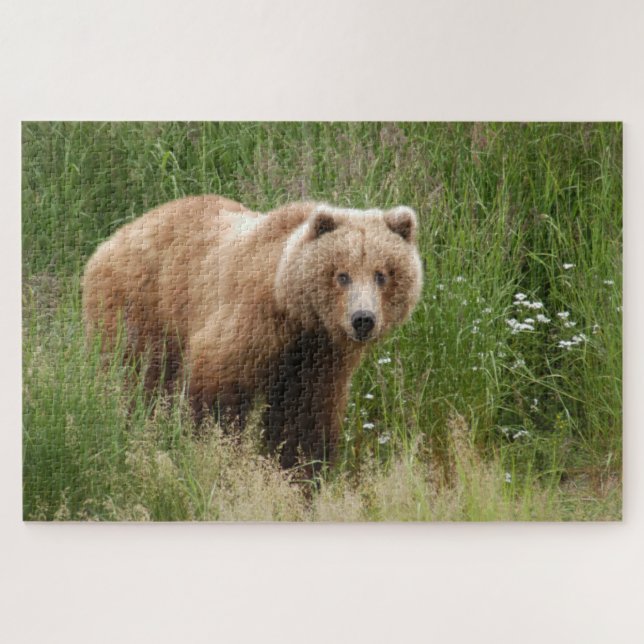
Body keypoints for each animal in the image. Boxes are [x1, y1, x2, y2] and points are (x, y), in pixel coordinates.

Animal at [82, 195, 423, 470]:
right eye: (342, 275)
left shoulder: (318, 360)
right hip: (143, 305)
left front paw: (300, 471)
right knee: (134, 377)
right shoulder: (249, 324)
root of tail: (113, 238)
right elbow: (216, 393)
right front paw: (216, 449)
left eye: (382, 274)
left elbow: (304, 419)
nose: (363, 319)